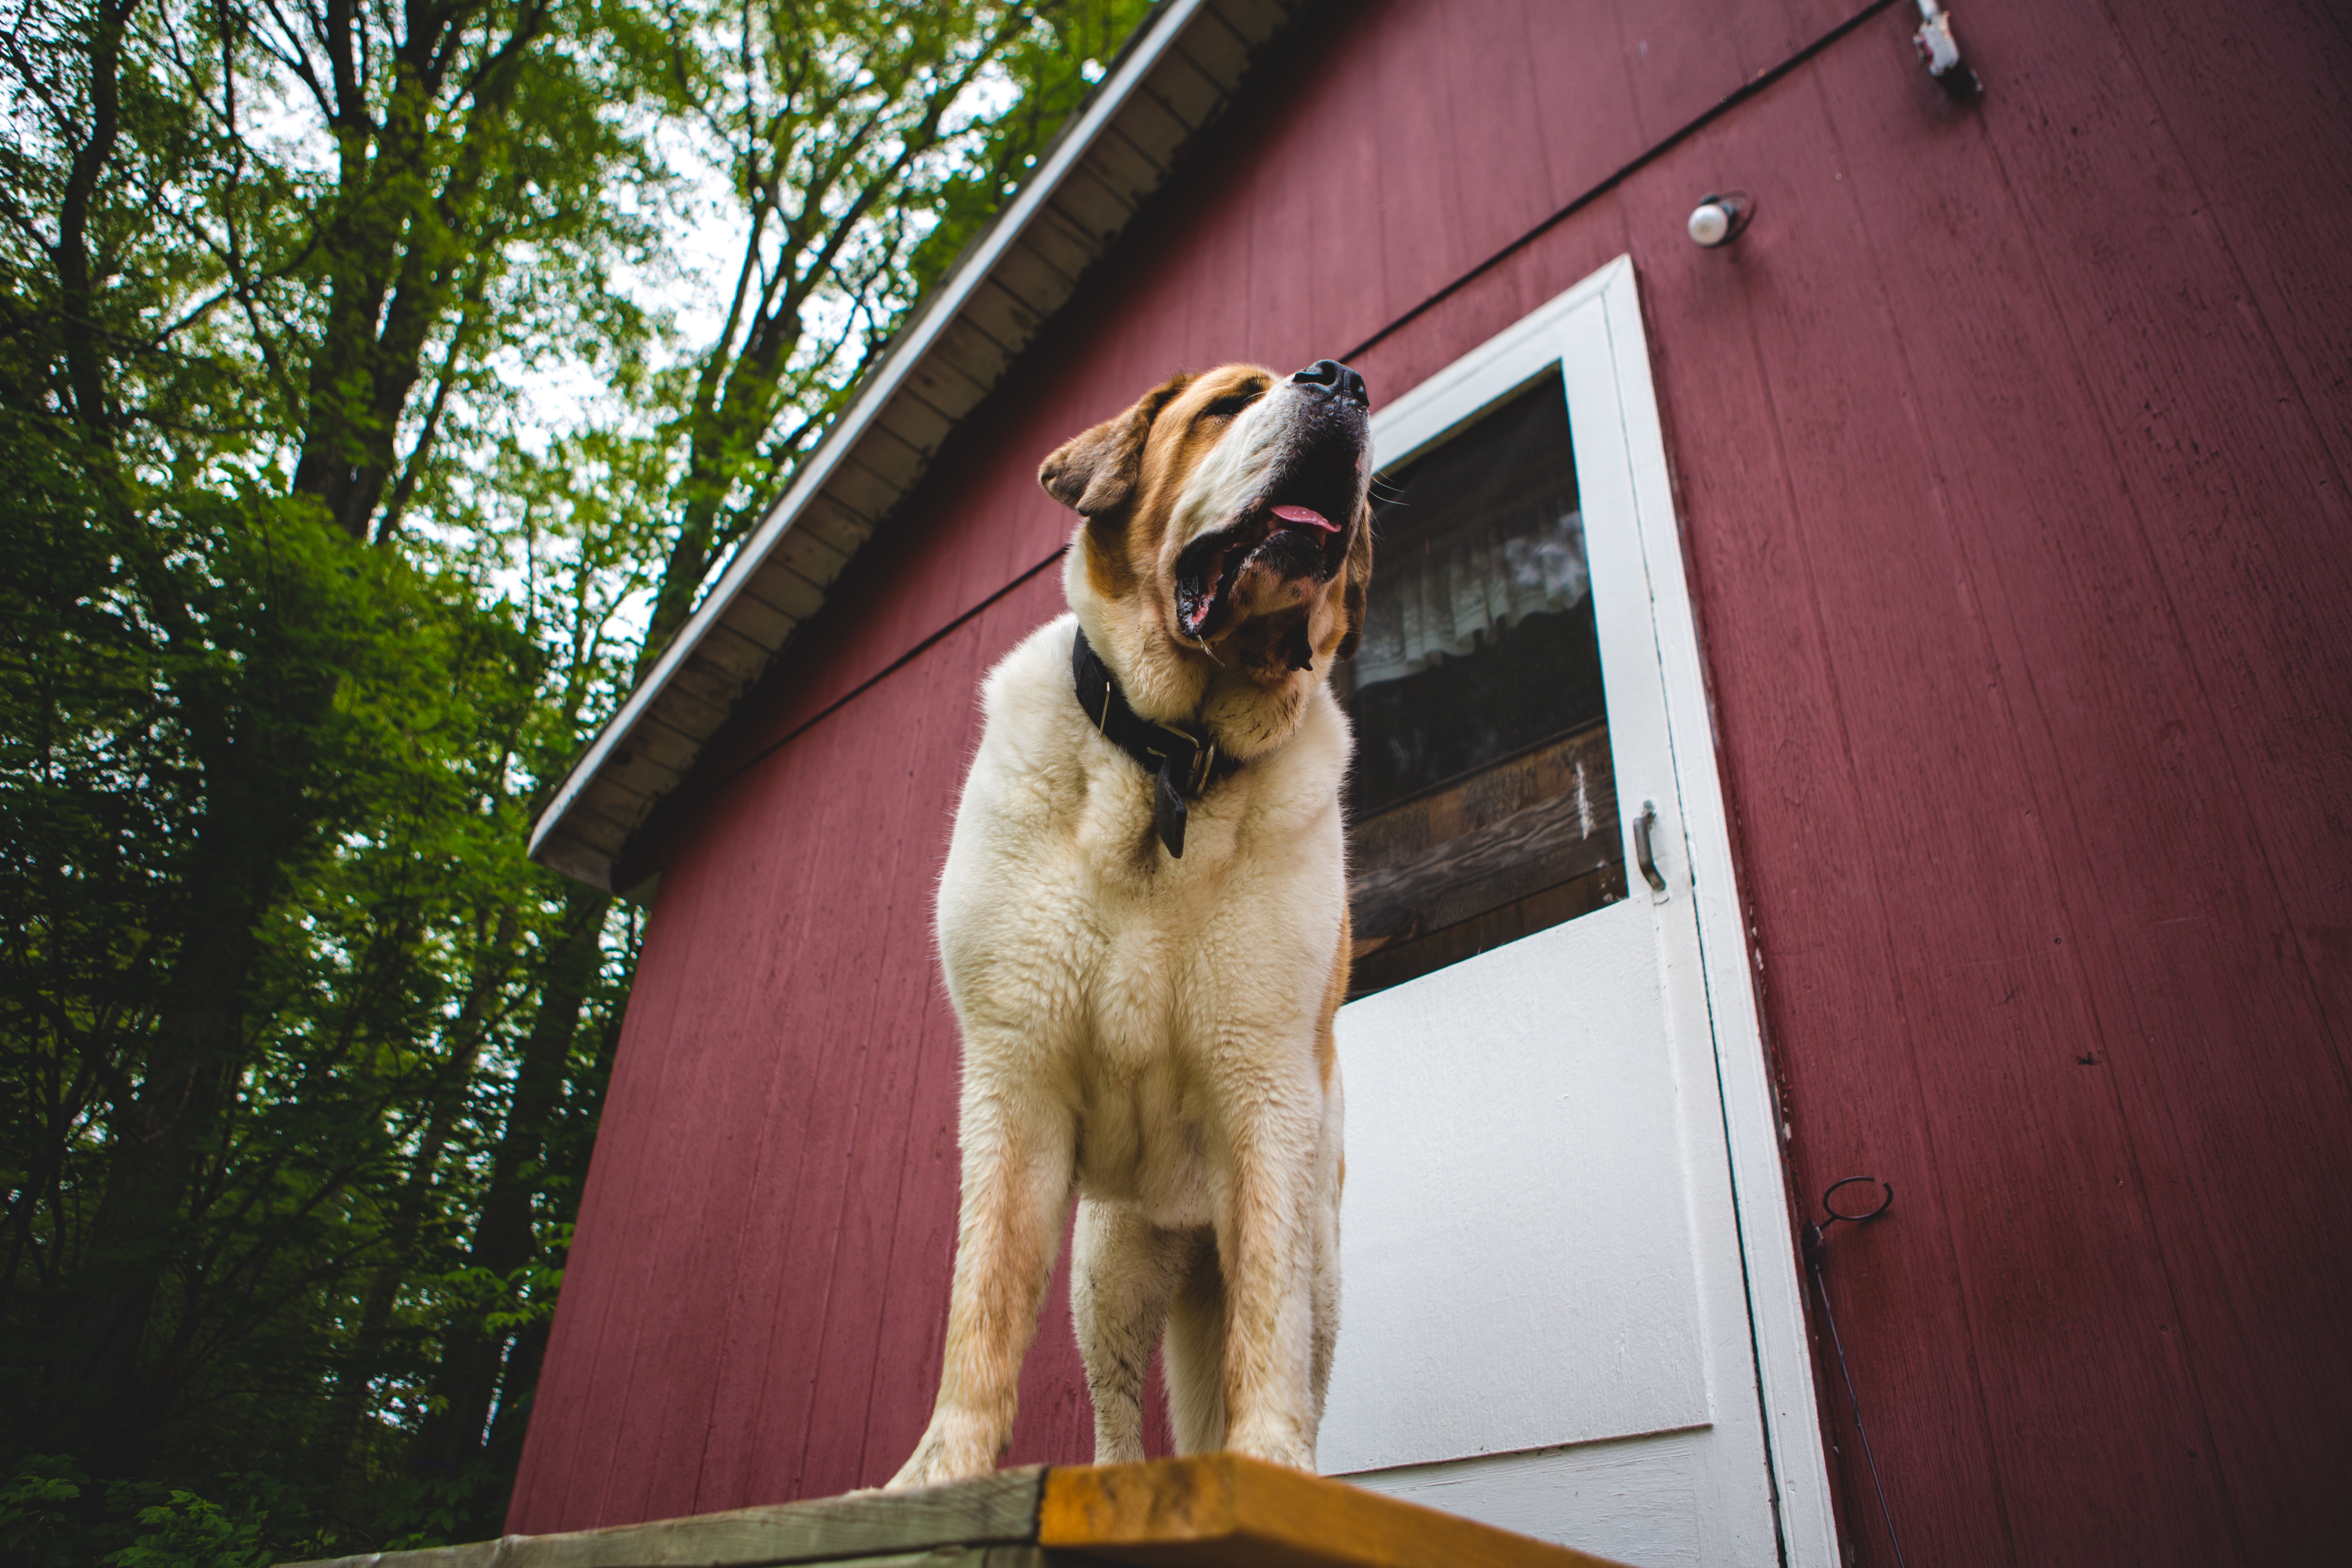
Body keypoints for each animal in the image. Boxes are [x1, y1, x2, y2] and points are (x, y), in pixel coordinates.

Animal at [889, 362, 1373, 1495]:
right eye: (1230, 401)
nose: (1340, 379)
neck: (1174, 756)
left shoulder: (1267, 1094)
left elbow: (1268, 1326)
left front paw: (1271, 1462)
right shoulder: (1014, 1083)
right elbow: (980, 1303)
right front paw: (943, 1471)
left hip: (1321, 1260)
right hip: (1107, 1272)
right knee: (1115, 1407)